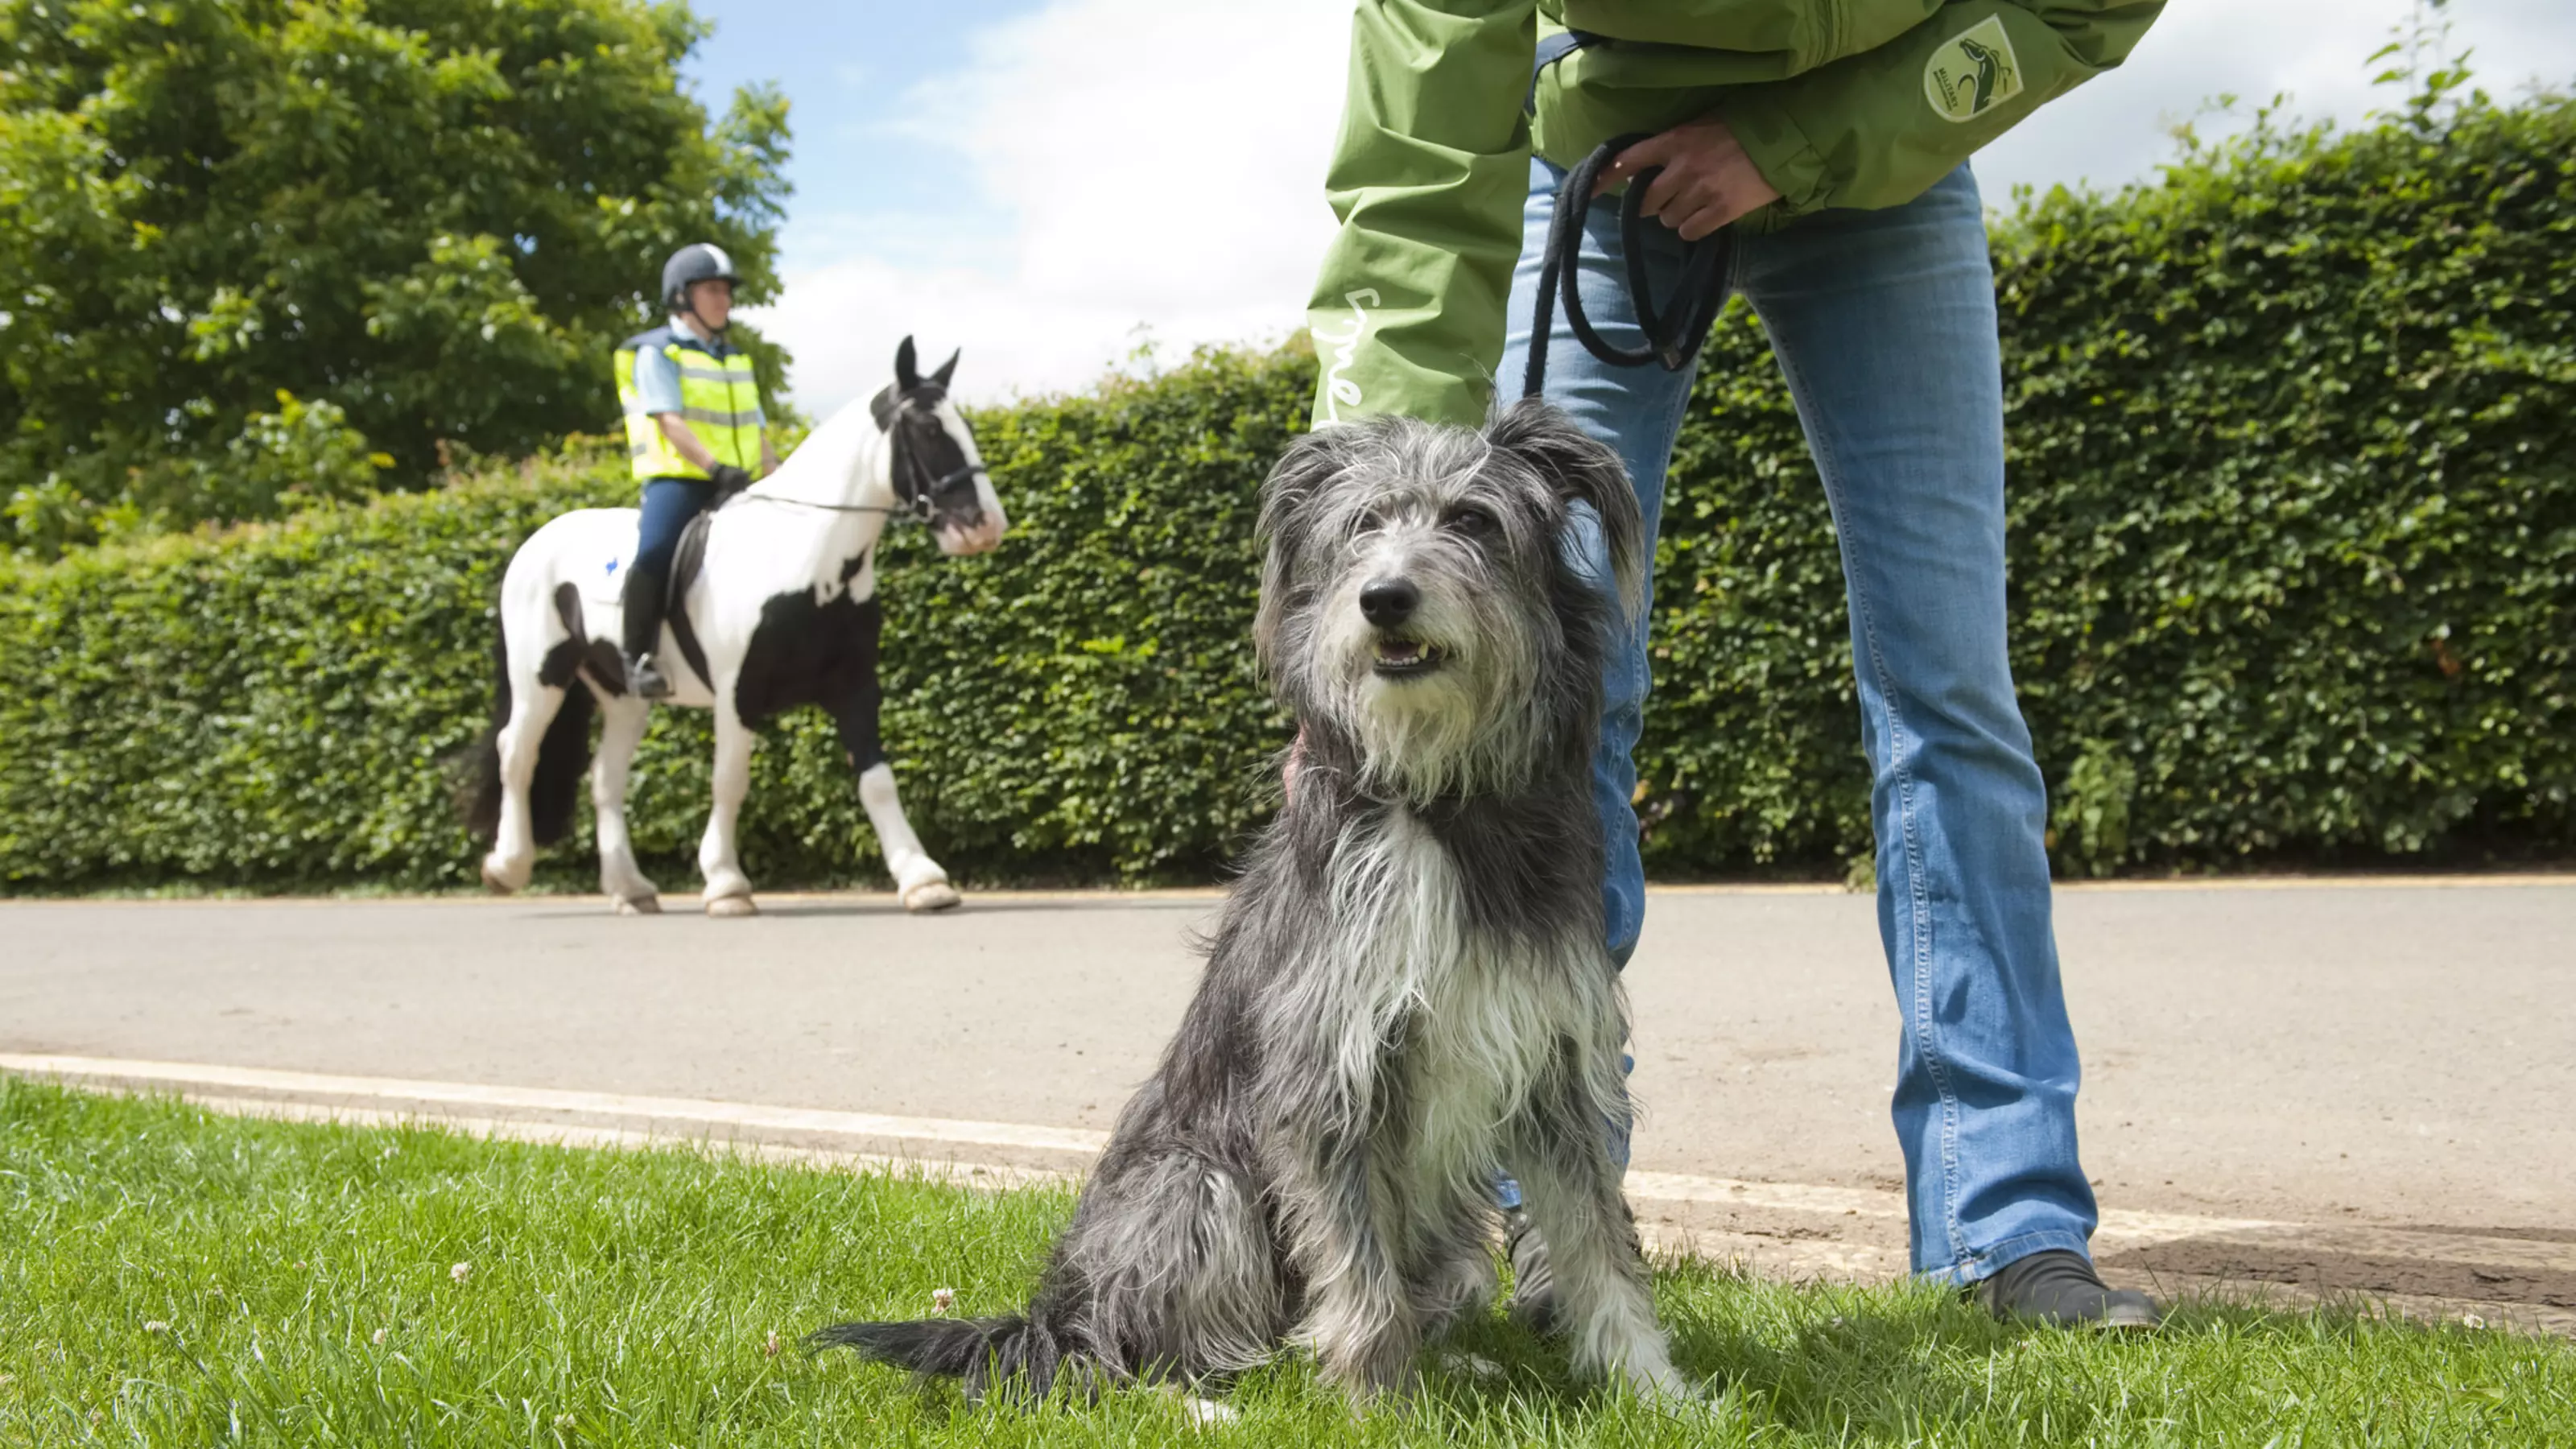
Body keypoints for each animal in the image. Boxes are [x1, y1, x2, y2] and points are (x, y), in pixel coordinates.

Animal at [473, 335, 1005, 912]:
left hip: (624, 697)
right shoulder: (737, 691)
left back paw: (630, 888)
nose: (986, 526)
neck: (806, 561)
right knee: (517, 754)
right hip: (540, 677)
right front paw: (726, 882)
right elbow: (730, 781)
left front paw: (922, 878)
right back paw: (506, 865)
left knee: (605, 778)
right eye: (929, 429)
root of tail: (535, 540)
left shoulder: (853, 686)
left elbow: (877, 780)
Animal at [814, 394, 1679, 1402]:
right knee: (1130, 1354)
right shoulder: (1326, 1073)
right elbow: (1355, 1266)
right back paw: (1209, 1401)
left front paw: (1656, 1390)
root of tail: (1047, 1312)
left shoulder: (1553, 1063)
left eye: (1473, 520)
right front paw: (1378, 1400)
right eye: (1362, 526)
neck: (1432, 803)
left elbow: (1596, 1244)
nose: (1383, 598)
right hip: (1200, 1189)